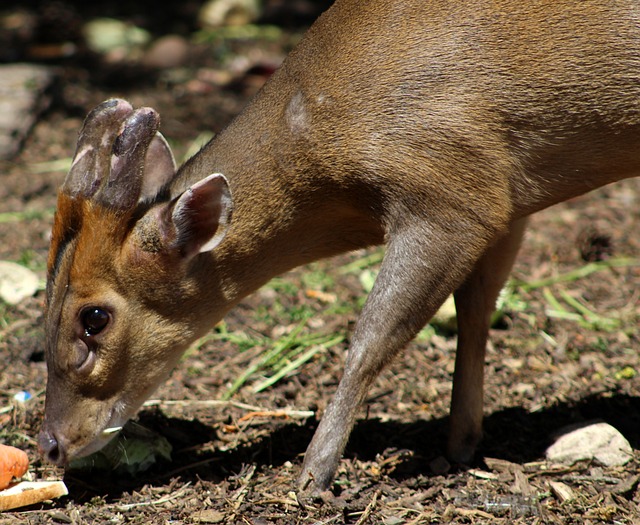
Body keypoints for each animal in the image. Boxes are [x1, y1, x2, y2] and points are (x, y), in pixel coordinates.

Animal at [37, 0, 636, 494]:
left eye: (94, 318)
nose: (50, 445)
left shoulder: (451, 192)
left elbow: (371, 337)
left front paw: (314, 474)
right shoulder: (505, 200)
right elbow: (475, 312)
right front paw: (461, 442)